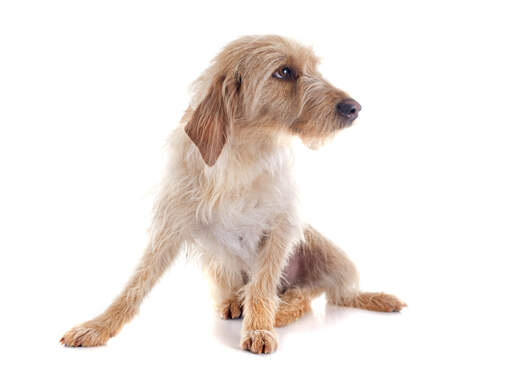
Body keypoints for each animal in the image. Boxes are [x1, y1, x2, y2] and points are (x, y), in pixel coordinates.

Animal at [60, 35, 406, 354]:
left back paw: (286, 309)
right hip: (219, 266)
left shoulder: (281, 226)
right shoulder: (171, 226)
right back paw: (234, 301)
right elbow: (135, 284)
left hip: (331, 254)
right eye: (284, 72)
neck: (243, 154)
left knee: (317, 295)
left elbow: (263, 285)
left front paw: (259, 328)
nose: (354, 108)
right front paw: (99, 326)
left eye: (313, 69)